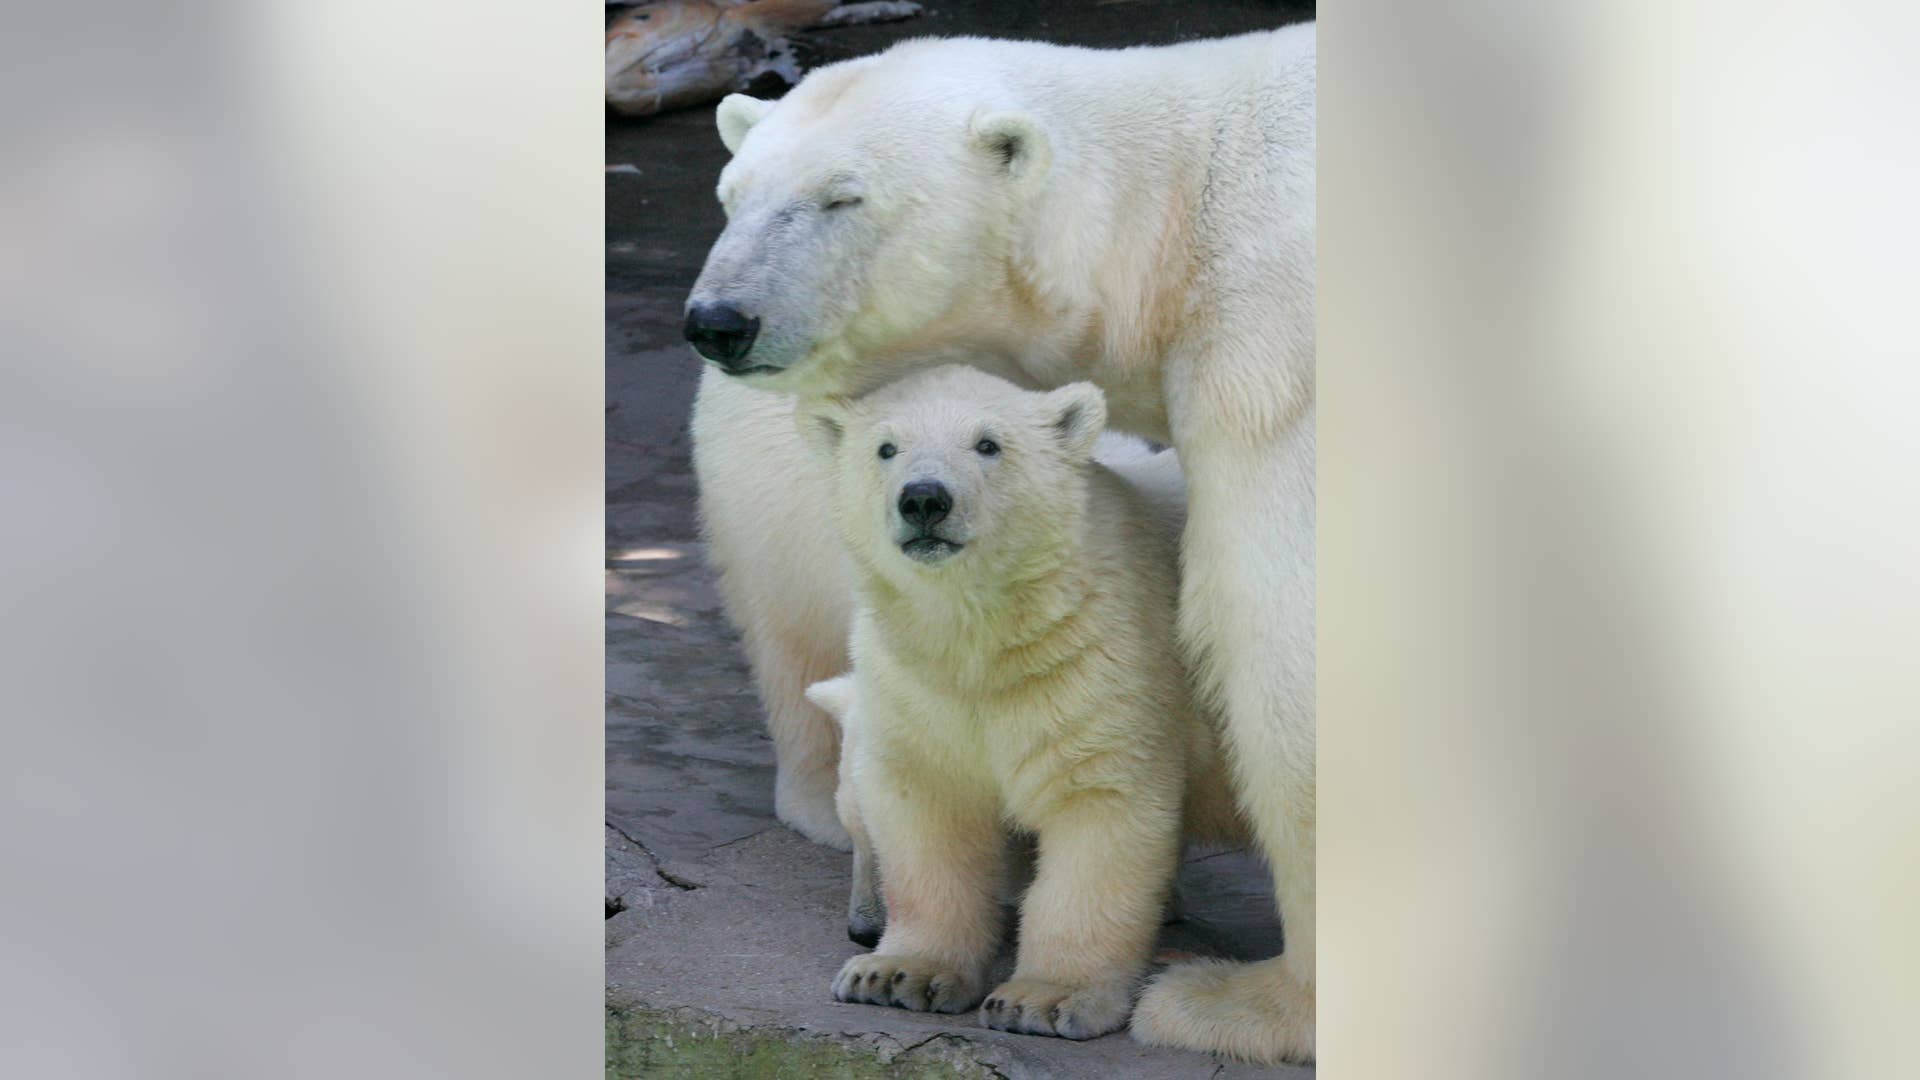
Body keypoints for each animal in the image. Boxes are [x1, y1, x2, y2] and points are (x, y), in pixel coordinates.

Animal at [800, 365, 1244, 1040]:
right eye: (886, 448)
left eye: (988, 444)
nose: (924, 499)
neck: (993, 635)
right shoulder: (919, 685)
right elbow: (932, 804)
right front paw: (896, 974)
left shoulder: (1105, 655)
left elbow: (1097, 807)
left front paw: (1043, 1000)